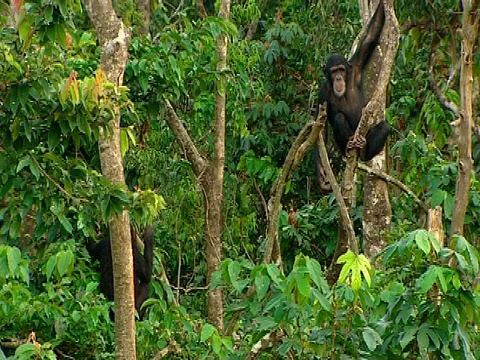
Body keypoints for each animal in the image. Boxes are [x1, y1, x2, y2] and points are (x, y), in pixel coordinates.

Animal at [316, 0, 388, 174]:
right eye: (333, 71)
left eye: (341, 69)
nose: (338, 78)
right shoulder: (322, 94)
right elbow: (321, 129)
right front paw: (322, 174)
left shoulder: (356, 65)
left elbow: (371, 36)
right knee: (339, 118)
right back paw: (349, 147)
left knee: (384, 127)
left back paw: (364, 150)